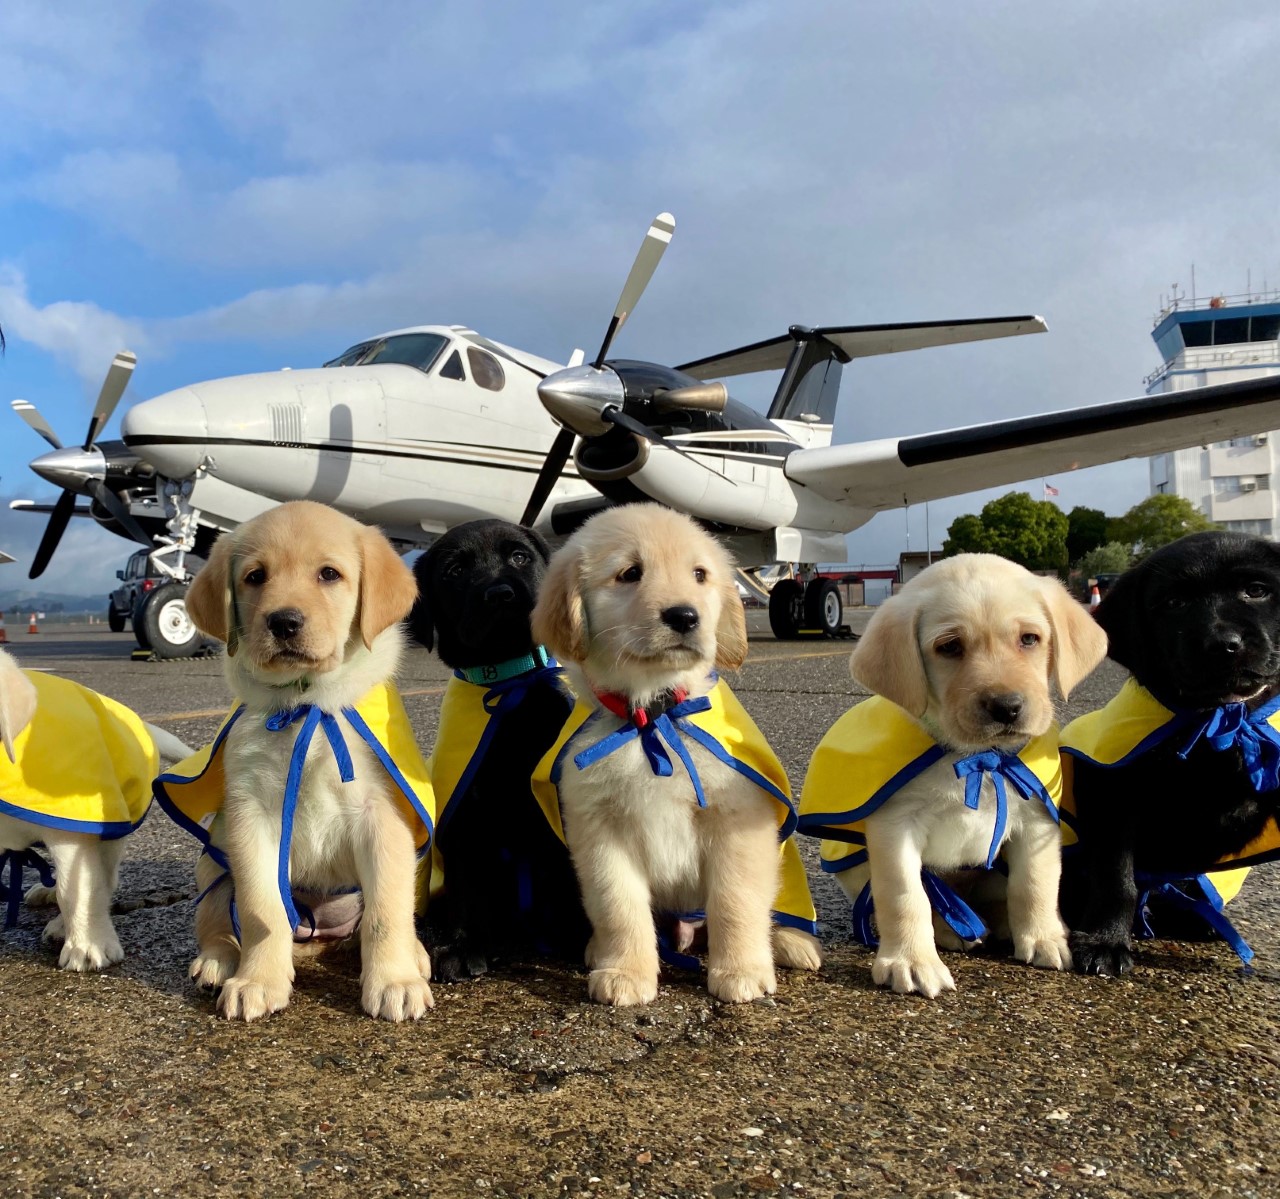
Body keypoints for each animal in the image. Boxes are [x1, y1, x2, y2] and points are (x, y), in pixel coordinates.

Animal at [160, 504, 435, 1018]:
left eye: (329, 574)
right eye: (255, 577)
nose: (284, 622)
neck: (307, 704)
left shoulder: (382, 816)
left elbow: (387, 912)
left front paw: (395, 980)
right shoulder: (251, 815)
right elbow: (261, 908)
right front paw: (258, 981)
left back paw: (415, 955)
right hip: (213, 860)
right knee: (217, 920)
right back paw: (219, 960)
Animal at [407, 519, 591, 977]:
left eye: (520, 557)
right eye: (454, 571)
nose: (500, 594)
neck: (509, 684)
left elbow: (573, 877)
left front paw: (582, 936)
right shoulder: (463, 814)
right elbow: (468, 888)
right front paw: (464, 946)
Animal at [529, 501, 819, 1008]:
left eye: (699, 574)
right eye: (630, 572)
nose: (684, 616)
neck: (653, 713)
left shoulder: (737, 821)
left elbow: (736, 901)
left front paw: (740, 971)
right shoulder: (600, 830)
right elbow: (619, 905)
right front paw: (626, 971)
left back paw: (791, 942)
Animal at [798, 557, 1111, 998]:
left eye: (1029, 639)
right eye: (949, 647)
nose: (1006, 706)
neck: (974, 757)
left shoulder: (1037, 819)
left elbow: (1035, 884)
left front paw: (1044, 937)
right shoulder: (895, 826)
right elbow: (905, 895)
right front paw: (911, 961)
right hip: (856, 870)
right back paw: (950, 933)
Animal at [1059, 529, 1280, 972]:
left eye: (1256, 590)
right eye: (1174, 603)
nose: (1224, 645)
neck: (1217, 718)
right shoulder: (1114, 795)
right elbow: (1117, 877)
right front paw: (1106, 941)